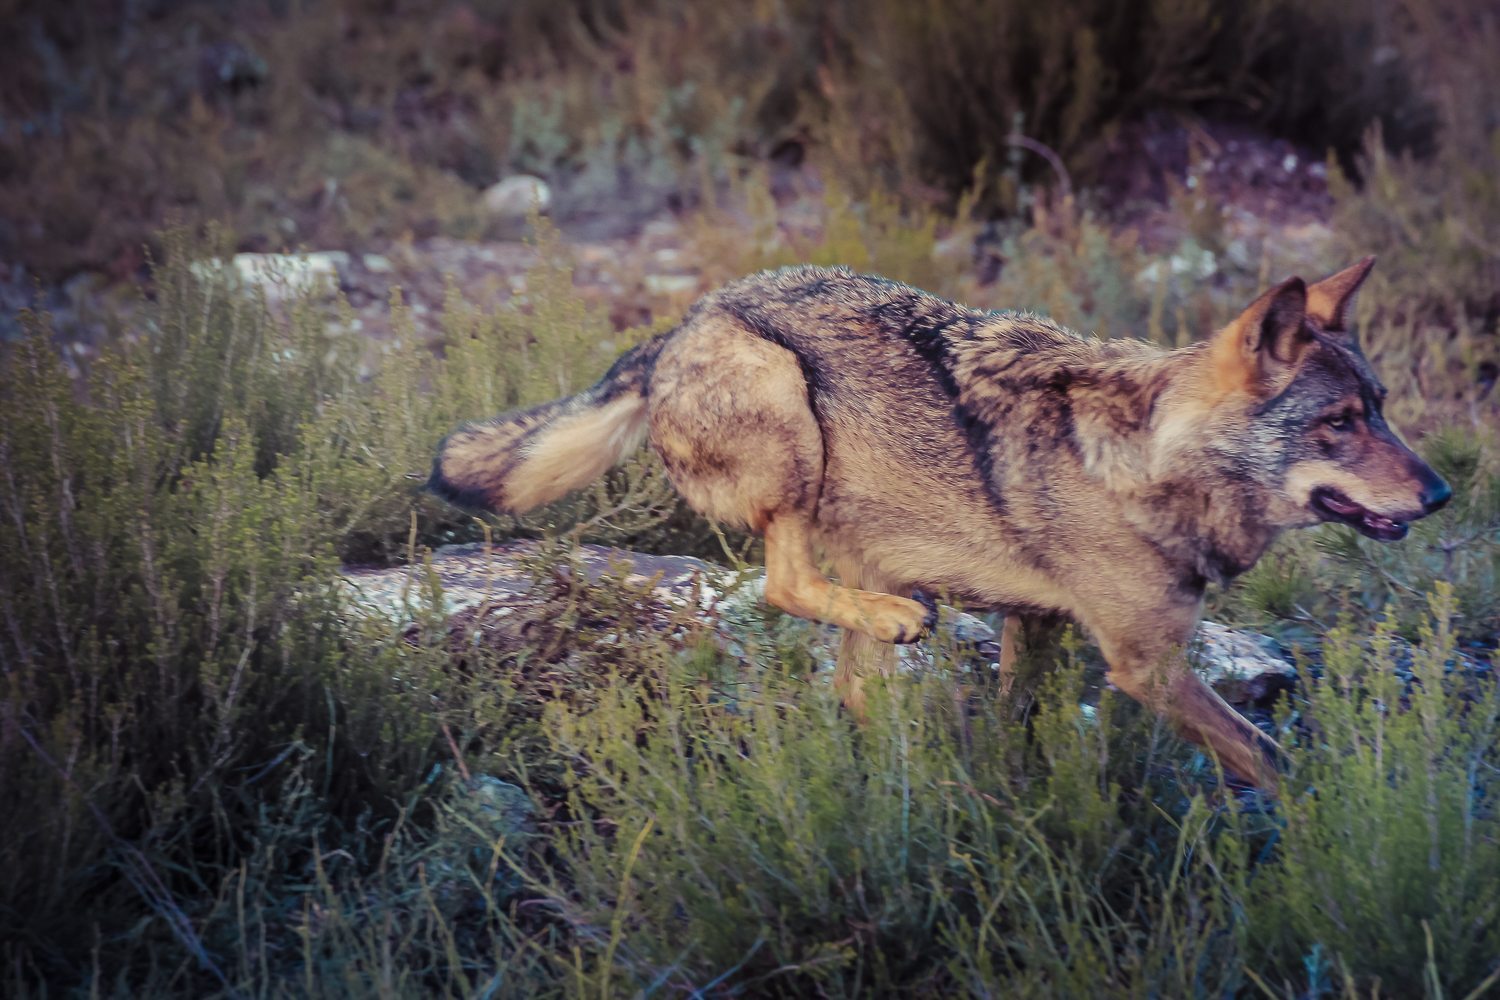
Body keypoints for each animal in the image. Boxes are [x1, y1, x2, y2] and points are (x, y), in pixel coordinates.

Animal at [429, 257, 1450, 787]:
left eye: (1382, 408)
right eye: (1338, 423)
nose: (1440, 494)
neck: (1144, 464)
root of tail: (675, 328)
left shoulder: (1036, 627)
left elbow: (1017, 727)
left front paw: (1009, 795)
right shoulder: (1146, 667)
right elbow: (1273, 758)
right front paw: (1331, 823)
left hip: (866, 541)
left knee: (850, 687)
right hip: (790, 423)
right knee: (786, 585)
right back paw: (899, 655)